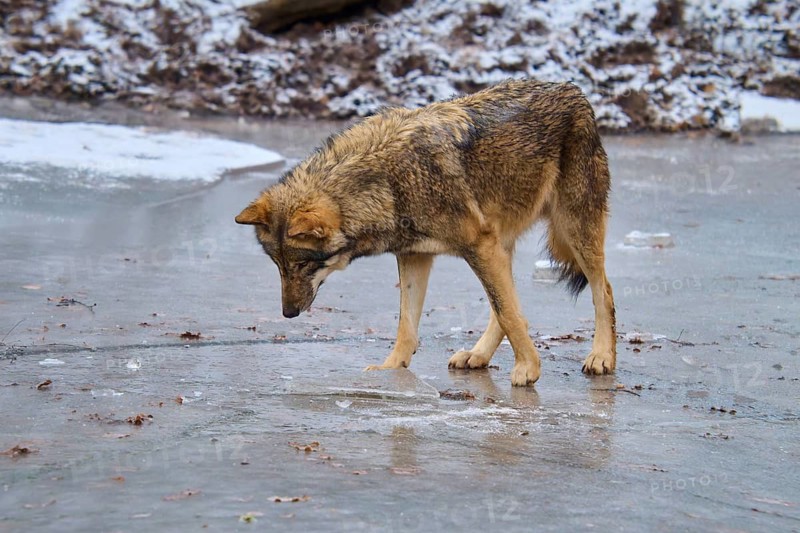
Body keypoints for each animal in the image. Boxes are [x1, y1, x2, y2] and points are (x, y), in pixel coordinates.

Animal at [235, 79, 616, 386]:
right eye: (279, 267)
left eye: (302, 265)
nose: (288, 314)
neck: (387, 180)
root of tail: (574, 90)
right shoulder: (416, 255)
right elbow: (407, 325)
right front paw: (391, 369)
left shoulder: (478, 245)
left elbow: (509, 312)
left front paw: (529, 369)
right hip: (503, 242)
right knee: (507, 302)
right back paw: (477, 356)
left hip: (573, 228)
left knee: (602, 290)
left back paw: (601, 357)